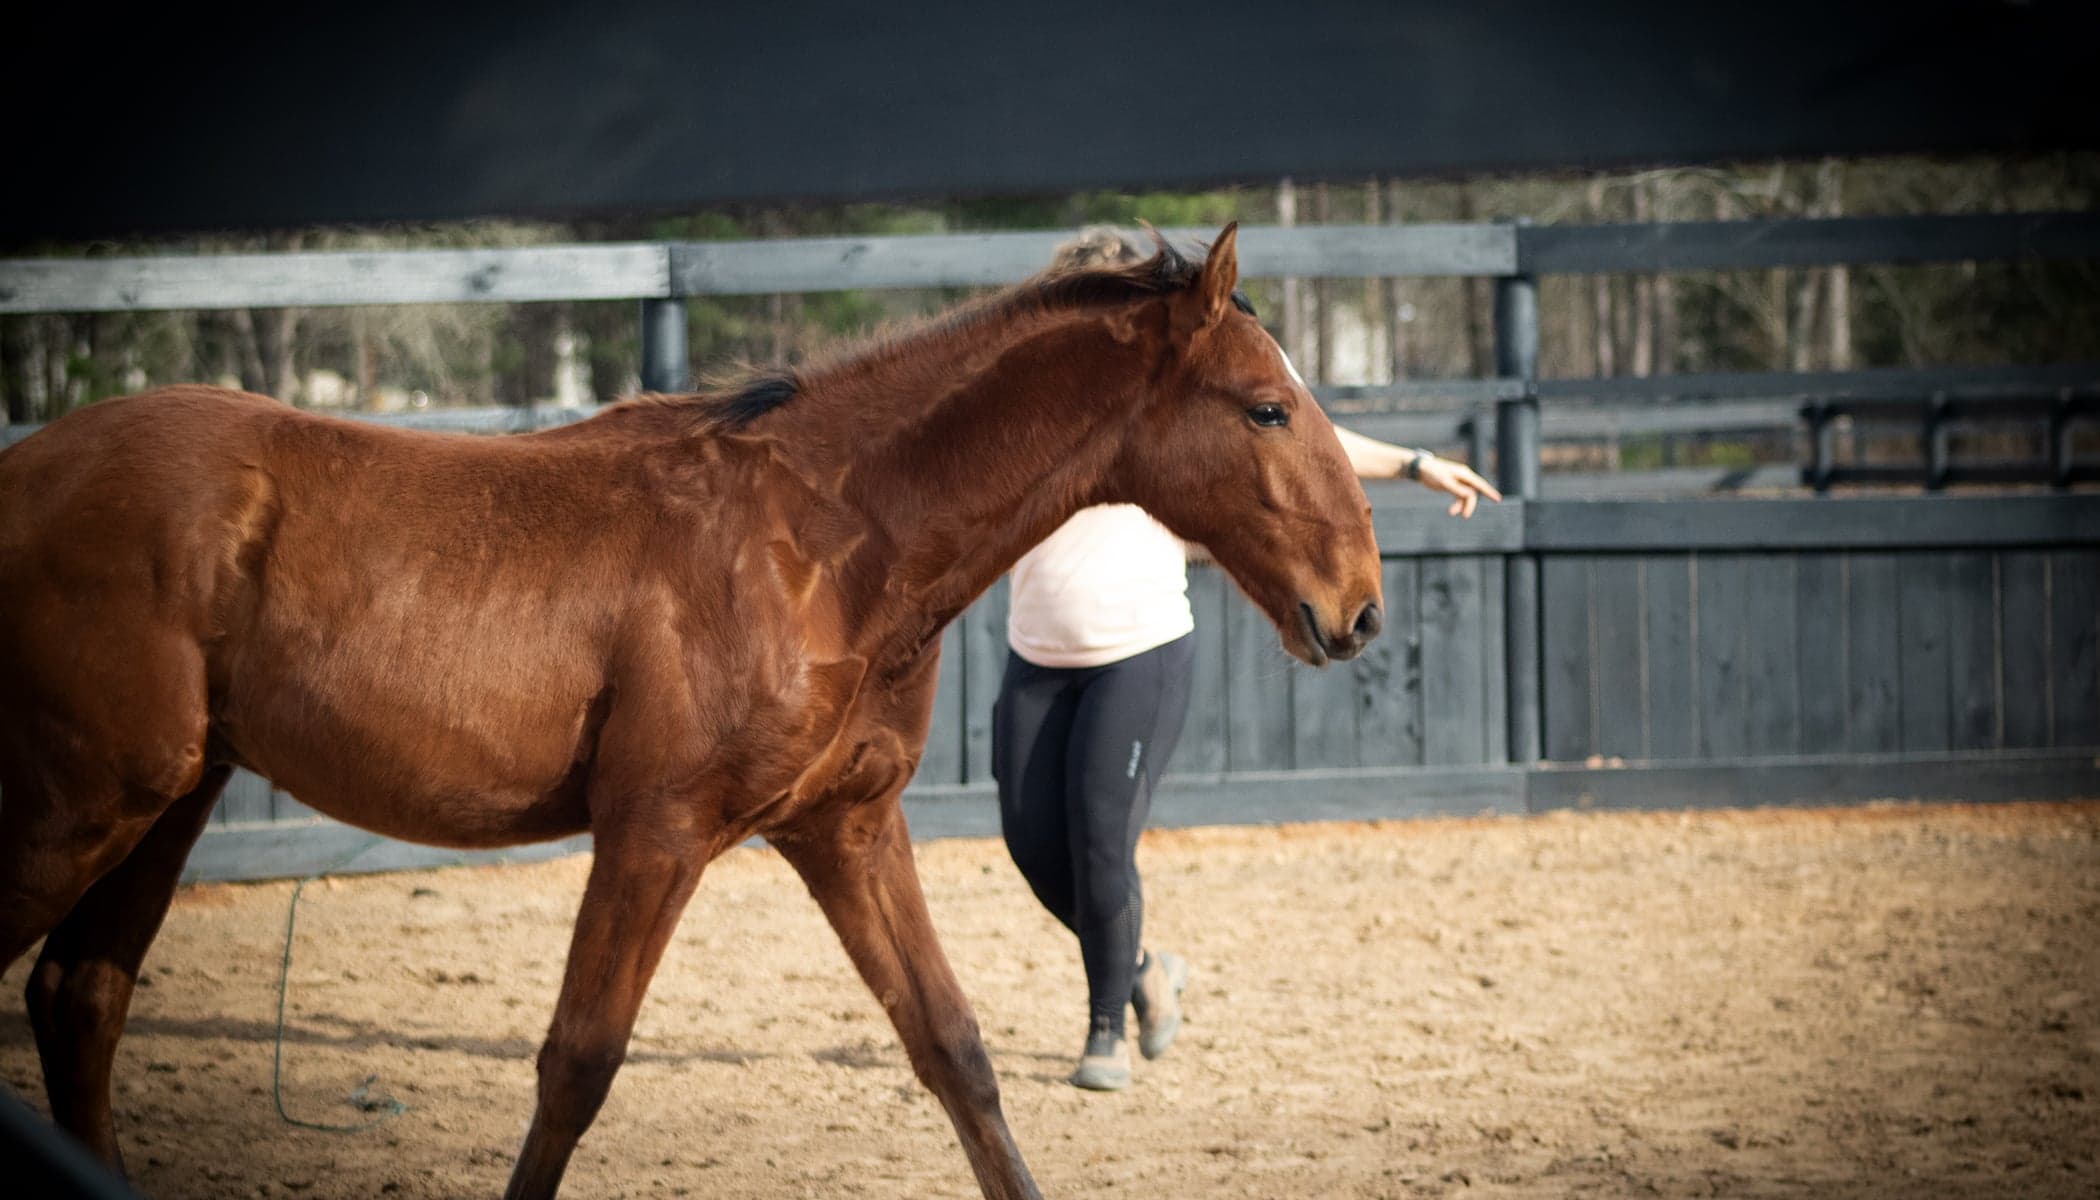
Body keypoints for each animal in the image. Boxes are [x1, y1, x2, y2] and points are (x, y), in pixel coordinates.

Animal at [0, 224, 1383, 1199]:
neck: (822, 539)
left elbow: (953, 1049)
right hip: (87, 803)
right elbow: (576, 1064)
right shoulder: (654, 831)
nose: (1358, 608)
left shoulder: (845, 830)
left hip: (170, 799)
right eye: (1266, 407)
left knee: (79, 998)